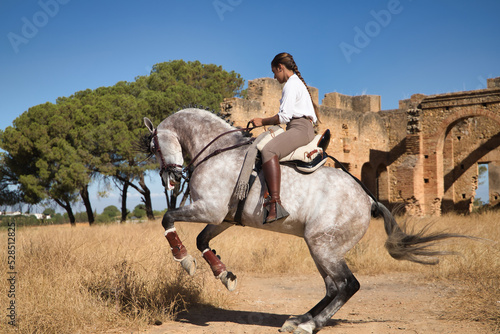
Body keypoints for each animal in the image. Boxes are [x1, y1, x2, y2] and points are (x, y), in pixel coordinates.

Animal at [142, 108, 460, 332]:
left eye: (154, 147)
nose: (170, 179)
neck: (217, 152)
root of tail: (369, 200)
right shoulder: (222, 217)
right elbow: (202, 240)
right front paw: (224, 275)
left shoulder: (208, 209)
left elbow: (168, 219)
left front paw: (183, 259)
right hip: (319, 246)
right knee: (332, 287)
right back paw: (299, 319)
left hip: (324, 247)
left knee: (348, 285)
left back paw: (310, 325)